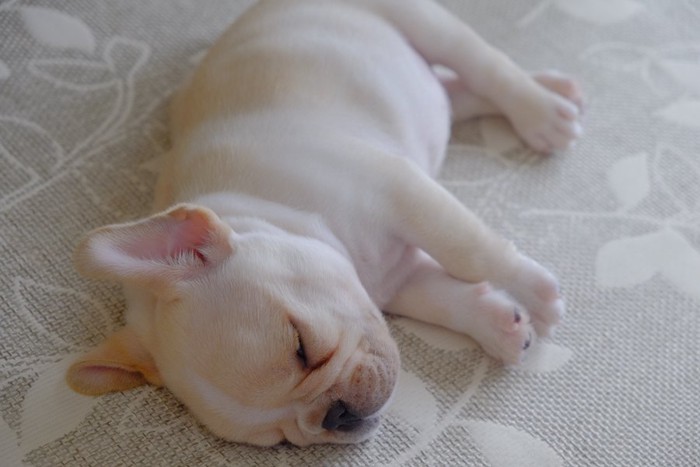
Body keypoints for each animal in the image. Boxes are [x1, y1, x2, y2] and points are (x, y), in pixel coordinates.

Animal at [65, 0, 584, 448]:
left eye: (303, 347)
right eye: (277, 442)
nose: (338, 414)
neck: (270, 210)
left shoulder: (398, 192)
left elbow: (468, 250)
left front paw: (538, 294)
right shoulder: (397, 280)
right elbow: (446, 299)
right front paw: (500, 325)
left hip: (418, 20)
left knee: (482, 64)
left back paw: (541, 110)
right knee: (452, 93)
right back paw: (556, 91)